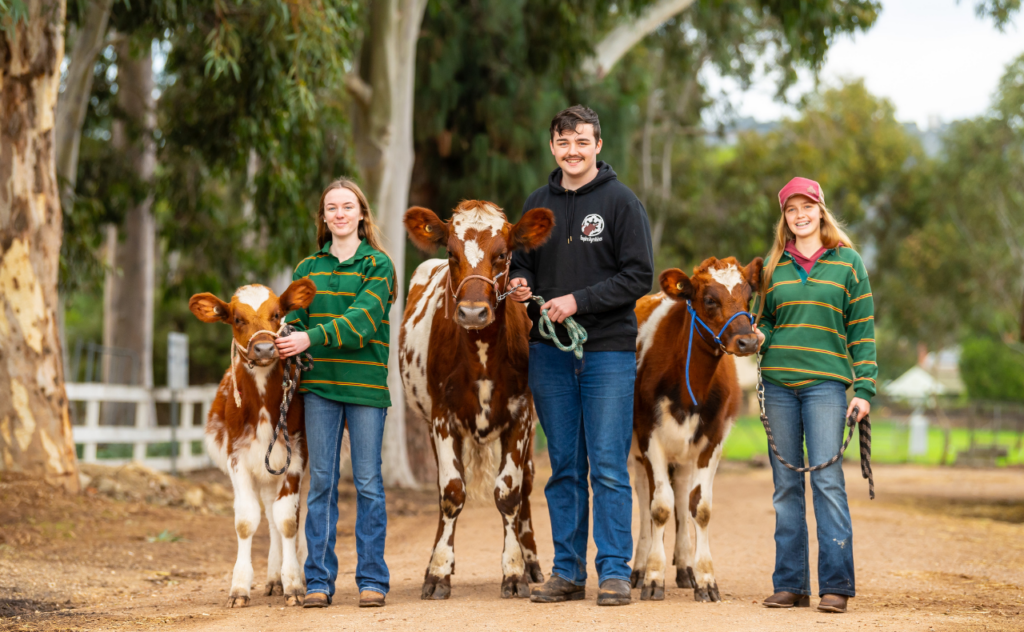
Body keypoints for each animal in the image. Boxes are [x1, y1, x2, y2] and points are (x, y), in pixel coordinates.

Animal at [188, 280, 315, 606]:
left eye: (277, 314)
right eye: (236, 319)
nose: (264, 348)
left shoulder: (296, 456)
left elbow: (289, 520)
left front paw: (294, 583)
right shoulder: (238, 458)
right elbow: (247, 521)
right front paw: (240, 587)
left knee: (301, 513)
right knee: (269, 514)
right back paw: (273, 577)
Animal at [397, 199, 552, 598]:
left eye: (503, 255)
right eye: (452, 253)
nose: (471, 312)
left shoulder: (520, 415)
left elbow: (510, 492)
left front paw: (515, 571)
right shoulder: (442, 417)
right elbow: (451, 491)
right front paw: (438, 572)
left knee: (528, 484)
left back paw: (532, 562)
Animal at [626, 255, 765, 602]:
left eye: (749, 297)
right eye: (710, 299)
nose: (748, 341)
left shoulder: (713, 440)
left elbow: (699, 507)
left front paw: (705, 578)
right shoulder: (649, 437)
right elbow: (659, 507)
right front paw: (653, 576)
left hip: (686, 451)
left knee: (680, 493)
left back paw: (685, 565)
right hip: (634, 448)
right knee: (645, 496)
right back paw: (639, 567)